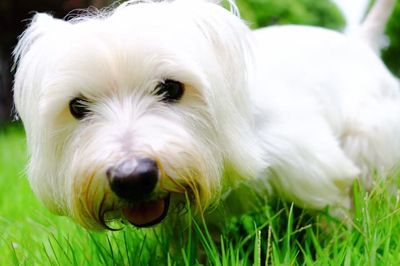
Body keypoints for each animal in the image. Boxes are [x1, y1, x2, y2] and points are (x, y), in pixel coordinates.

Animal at [13, 0, 400, 229]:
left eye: (172, 87)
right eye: (77, 107)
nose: (132, 177)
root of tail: (361, 42)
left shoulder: (314, 168)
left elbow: (333, 217)